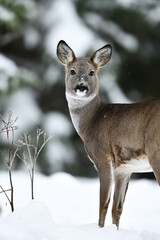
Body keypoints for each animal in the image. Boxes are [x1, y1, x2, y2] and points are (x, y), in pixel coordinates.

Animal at [56, 40, 160, 229]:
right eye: (72, 70)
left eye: (92, 72)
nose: (81, 87)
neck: (92, 122)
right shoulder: (124, 169)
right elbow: (117, 209)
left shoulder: (103, 157)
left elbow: (103, 203)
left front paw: (100, 229)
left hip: (156, 154)